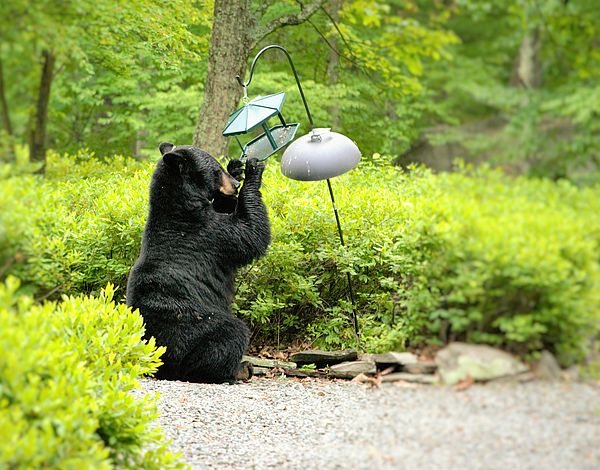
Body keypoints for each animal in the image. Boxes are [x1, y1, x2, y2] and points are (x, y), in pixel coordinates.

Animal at [127, 142, 270, 382]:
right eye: (215, 170)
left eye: (220, 166)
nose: (234, 185)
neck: (181, 206)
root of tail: (160, 363)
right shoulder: (209, 233)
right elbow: (249, 234)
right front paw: (252, 172)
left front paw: (237, 168)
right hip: (196, 326)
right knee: (230, 334)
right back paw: (237, 369)